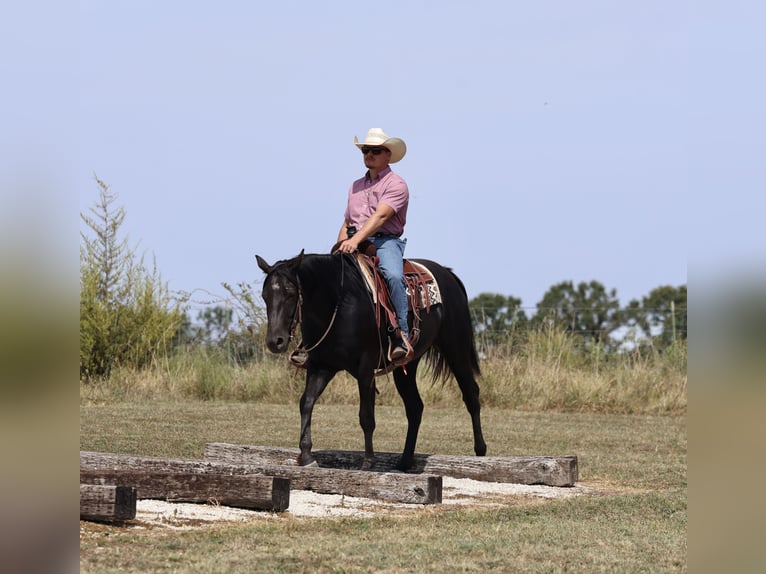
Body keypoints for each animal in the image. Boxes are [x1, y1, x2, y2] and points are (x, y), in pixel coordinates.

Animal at [255, 250, 487, 471]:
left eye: (290, 292)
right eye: (265, 295)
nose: (275, 341)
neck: (338, 303)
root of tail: (448, 273)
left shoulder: (365, 368)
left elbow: (366, 416)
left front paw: (368, 461)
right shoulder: (321, 366)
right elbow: (306, 403)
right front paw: (306, 457)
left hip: (456, 349)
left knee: (471, 394)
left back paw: (480, 451)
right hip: (407, 365)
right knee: (415, 407)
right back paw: (405, 461)